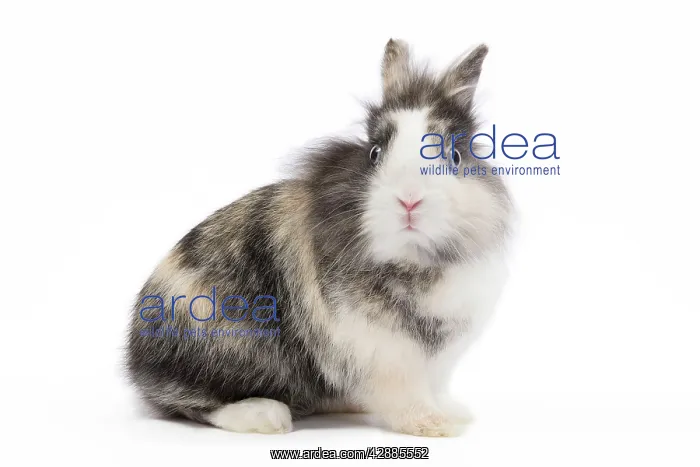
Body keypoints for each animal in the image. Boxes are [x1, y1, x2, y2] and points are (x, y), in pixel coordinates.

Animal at [126, 39, 513, 437]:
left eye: (455, 155)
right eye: (375, 153)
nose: (409, 200)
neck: (413, 257)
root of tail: (136, 361)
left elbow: (433, 384)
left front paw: (454, 413)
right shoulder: (381, 348)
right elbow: (404, 391)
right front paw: (432, 425)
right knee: (192, 403)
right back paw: (265, 415)